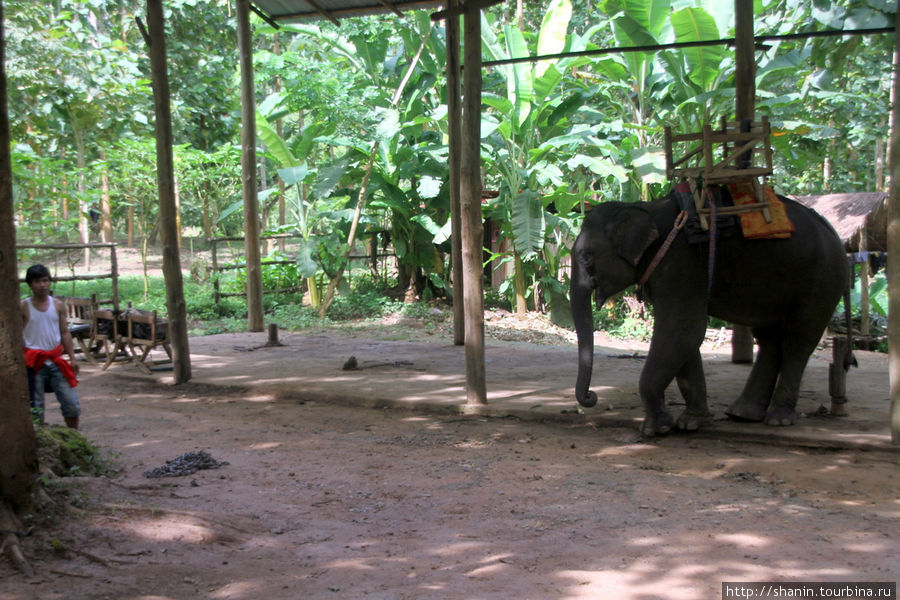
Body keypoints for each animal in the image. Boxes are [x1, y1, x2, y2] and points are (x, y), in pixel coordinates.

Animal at [572, 191, 848, 436]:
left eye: (585, 257)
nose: (591, 397)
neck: (644, 206)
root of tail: (834, 234)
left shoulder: (680, 264)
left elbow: (682, 331)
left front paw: (656, 430)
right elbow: (685, 338)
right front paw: (692, 424)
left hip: (822, 280)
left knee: (798, 339)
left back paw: (778, 419)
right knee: (769, 339)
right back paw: (743, 413)